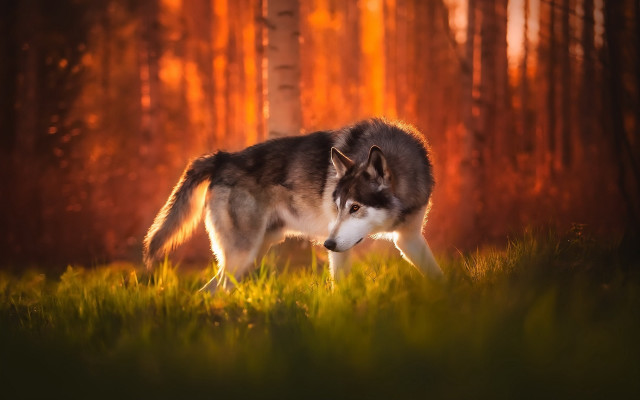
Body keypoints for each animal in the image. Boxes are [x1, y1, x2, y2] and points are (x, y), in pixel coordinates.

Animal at [143, 118, 442, 291]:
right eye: (338, 207)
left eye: (355, 208)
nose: (327, 244)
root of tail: (222, 157)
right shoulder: (342, 249)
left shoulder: (408, 238)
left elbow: (437, 275)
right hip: (242, 256)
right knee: (213, 290)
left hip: (253, 255)